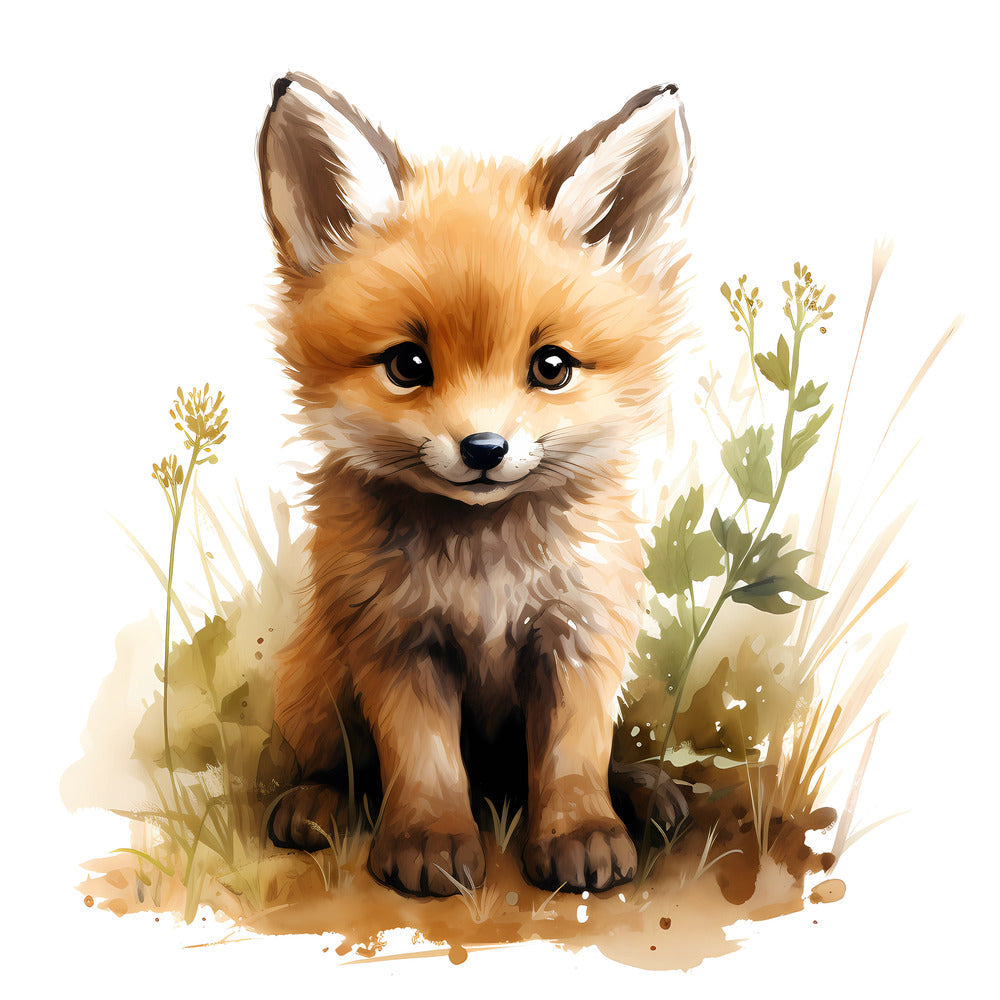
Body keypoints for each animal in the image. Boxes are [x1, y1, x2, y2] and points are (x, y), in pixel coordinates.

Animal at [257, 72, 693, 897]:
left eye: (551, 367)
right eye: (408, 365)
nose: (484, 448)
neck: (486, 567)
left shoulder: (579, 632)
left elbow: (574, 755)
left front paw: (580, 832)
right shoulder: (397, 640)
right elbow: (424, 761)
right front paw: (430, 842)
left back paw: (647, 791)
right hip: (320, 681)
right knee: (339, 765)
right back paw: (315, 802)